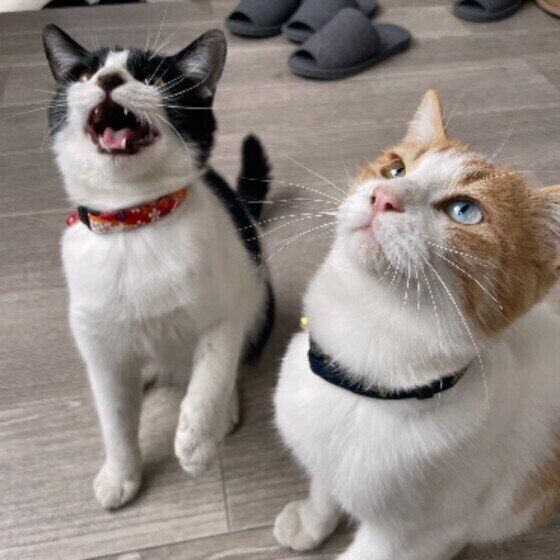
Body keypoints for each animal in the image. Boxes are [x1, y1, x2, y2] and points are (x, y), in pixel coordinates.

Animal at [43, 24, 274, 509]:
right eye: (84, 74)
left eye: (157, 79)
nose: (108, 79)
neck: (133, 224)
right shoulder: (96, 341)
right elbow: (114, 416)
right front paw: (120, 474)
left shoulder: (229, 304)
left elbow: (212, 370)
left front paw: (197, 440)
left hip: (260, 300)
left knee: (233, 358)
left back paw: (225, 411)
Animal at [273, 90, 560, 559]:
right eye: (395, 168)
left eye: (465, 210)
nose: (383, 196)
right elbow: (324, 485)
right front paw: (312, 518)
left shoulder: (420, 536)